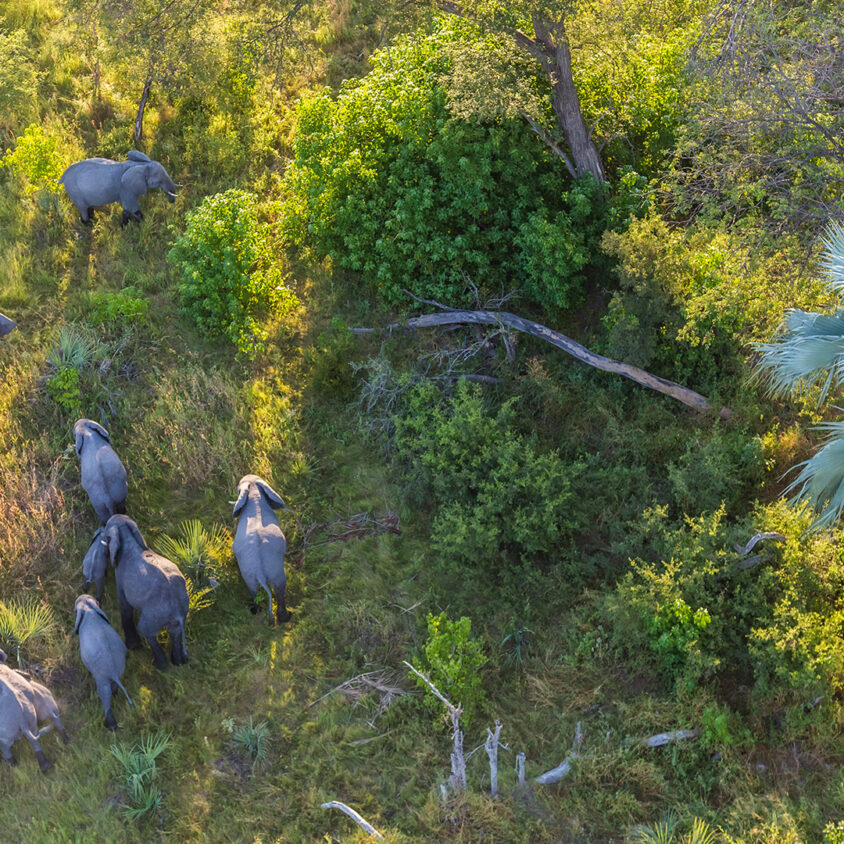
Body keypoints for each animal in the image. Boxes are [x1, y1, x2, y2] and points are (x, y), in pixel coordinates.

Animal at [73, 592, 134, 728]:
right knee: (114, 685)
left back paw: (111, 726)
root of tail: (113, 673)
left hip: (101, 676)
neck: (88, 609)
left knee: (104, 693)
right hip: (119, 667)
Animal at [102, 516, 190, 672]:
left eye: (107, 535)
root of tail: (177, 612)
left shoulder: (121, 577)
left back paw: (160, 666)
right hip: (180, 610)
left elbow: (124, 606)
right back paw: (177, 662)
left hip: (154, 614)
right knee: (175, 632)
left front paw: (133, 646)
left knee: (147, 631)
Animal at [232, 474, 292, 628]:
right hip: (270, 571)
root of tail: (260, 573)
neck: (254, 492)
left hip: (253, 574)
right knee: (278, 589)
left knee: (257, 590)